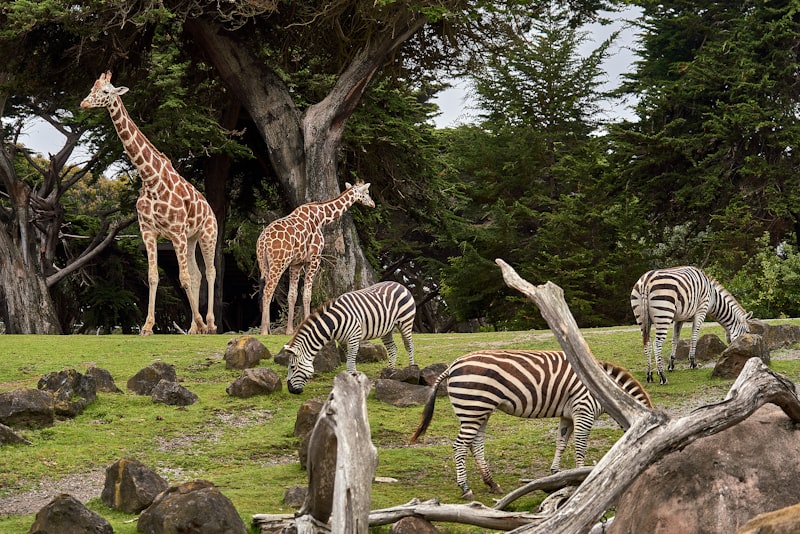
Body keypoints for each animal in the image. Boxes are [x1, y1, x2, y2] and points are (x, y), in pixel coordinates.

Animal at [81, 71, 217, 335]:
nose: (83, 104)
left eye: (105, 91)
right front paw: (147, 326)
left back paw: (210, 323)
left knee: (209, 271)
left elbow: (183, 278)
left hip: (207, 234)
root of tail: (210, 209)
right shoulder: (149, 231)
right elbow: (154, 276)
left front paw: (198, 322)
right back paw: (194, 328)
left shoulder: (176, 232)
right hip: (191, 238)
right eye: (92, 88)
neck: (150, 178)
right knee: (197, 274)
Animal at [256, 181, 375, 335]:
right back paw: (264, 331)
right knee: (268, 290)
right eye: (367, 192)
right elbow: (307, 294)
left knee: (265, 290)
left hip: (263, 263)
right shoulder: (314, 258)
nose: (372, 203)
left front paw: (290, 330)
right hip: (279, 262)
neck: (321, 217)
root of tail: (262, 241)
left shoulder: (297, 263)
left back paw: (267, 329)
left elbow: (292, 295)